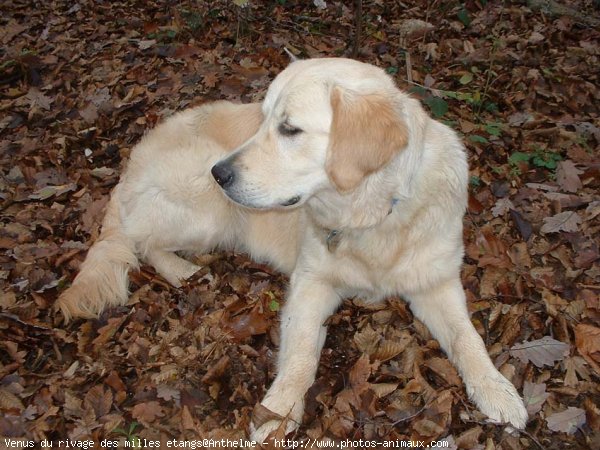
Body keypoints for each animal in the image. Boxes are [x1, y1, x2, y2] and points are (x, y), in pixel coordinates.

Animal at [55, 58, 524, 442]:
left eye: (289, 129)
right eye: (262, 122)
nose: (219, 173)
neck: (370, 216)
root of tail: (129, 166)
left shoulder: (436, 282)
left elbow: (467, 338)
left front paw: (497, 390)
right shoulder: (310, 282)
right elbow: (299, 355)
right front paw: (277, 413)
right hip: (209, 210)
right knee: (139, 242)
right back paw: (181, 270)